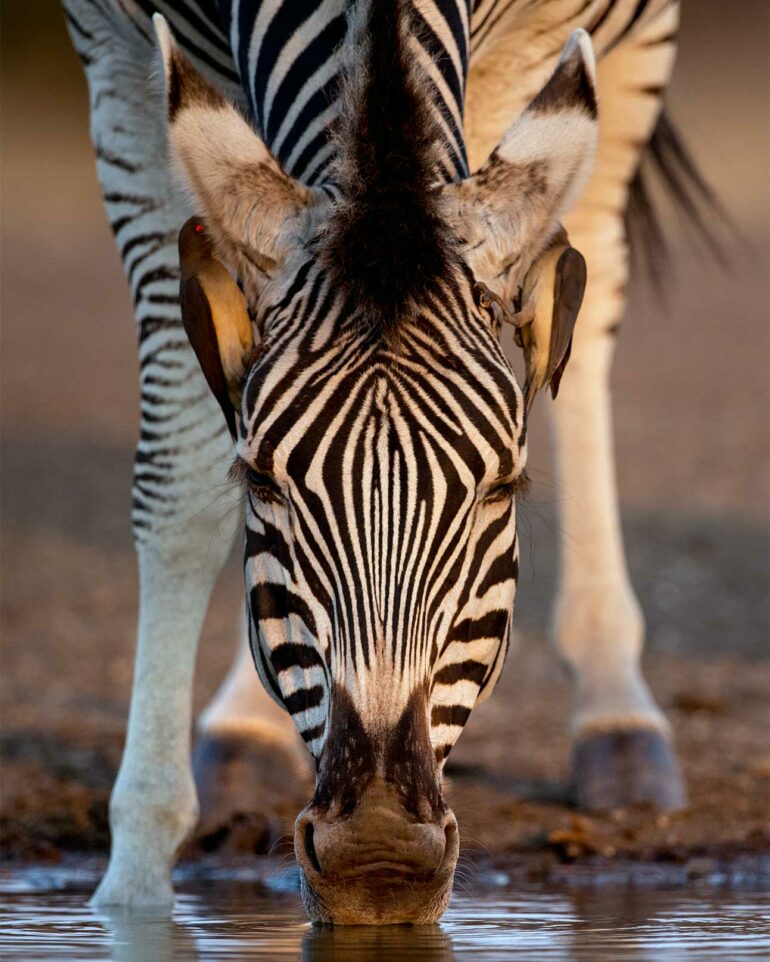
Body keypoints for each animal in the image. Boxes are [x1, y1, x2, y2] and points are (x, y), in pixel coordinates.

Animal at [64, 0, 699, 924]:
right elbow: (178, 481)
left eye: (503, 487)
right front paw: (135, 891)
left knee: (593, 271)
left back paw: (616, 711)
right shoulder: (114, 58)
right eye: (259, 480)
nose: (378, 862)